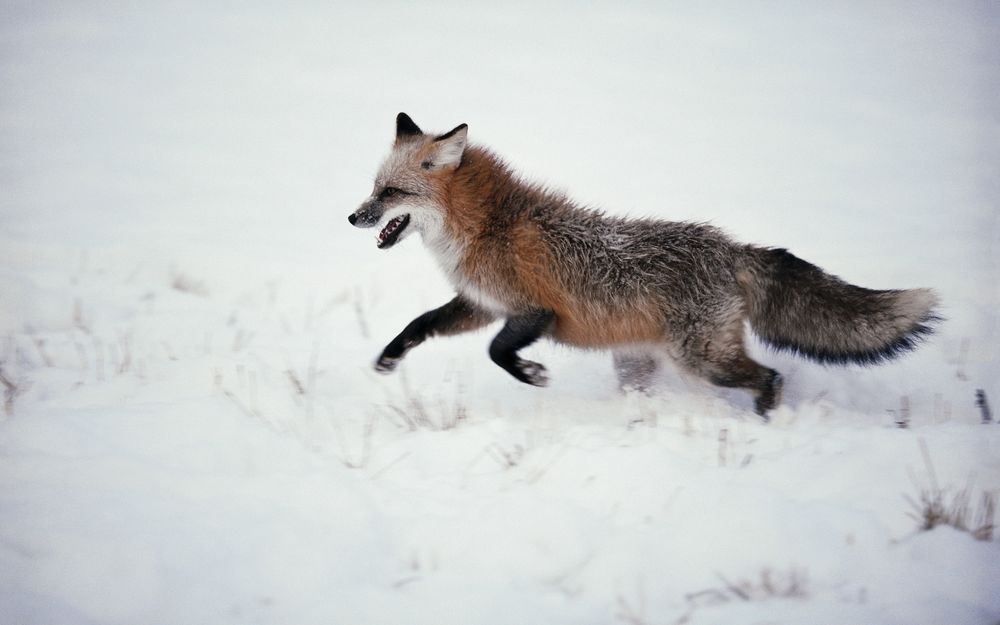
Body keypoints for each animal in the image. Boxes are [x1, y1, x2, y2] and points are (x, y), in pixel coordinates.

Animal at [348, 113, 940, 414]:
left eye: (391, 192)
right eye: (374, 188)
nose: (353, 216)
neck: (489, 226)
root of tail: (730, 247)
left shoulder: (533, 311)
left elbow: (498, 353)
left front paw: (534, 375)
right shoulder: (482, 304)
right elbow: (419, 325)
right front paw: (386, 361)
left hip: (701, 359)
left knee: (769, 375)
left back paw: (765, 417)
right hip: (640, 364)